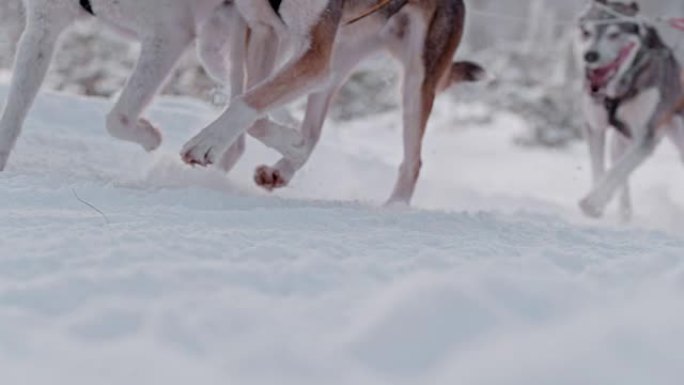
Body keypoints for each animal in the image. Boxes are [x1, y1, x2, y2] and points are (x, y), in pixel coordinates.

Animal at [0, 0, 254, 170]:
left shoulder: (168, 34)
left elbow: (116, 118)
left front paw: (151, 136)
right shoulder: (42, 29)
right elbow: (13, 113)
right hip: (213, 47)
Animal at [179, 0, 484, 204]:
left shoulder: (314, 54)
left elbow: (247, 102)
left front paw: (205, 143)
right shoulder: (265, 30)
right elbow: (255, 110)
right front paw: (295, 145)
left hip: (416, 79)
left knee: (413, 162)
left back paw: (393, 208)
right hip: (337, 58)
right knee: (314, 130)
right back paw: (283, 168)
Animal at [576, 0, 680, 219]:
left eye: (614, 34)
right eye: (586, 32)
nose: (590, 55)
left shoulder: (645, 139)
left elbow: (617, 171)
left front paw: (592, 202)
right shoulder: (594, 127)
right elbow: (601, 169)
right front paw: (598, 205)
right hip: (620, 141)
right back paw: (624, 215)